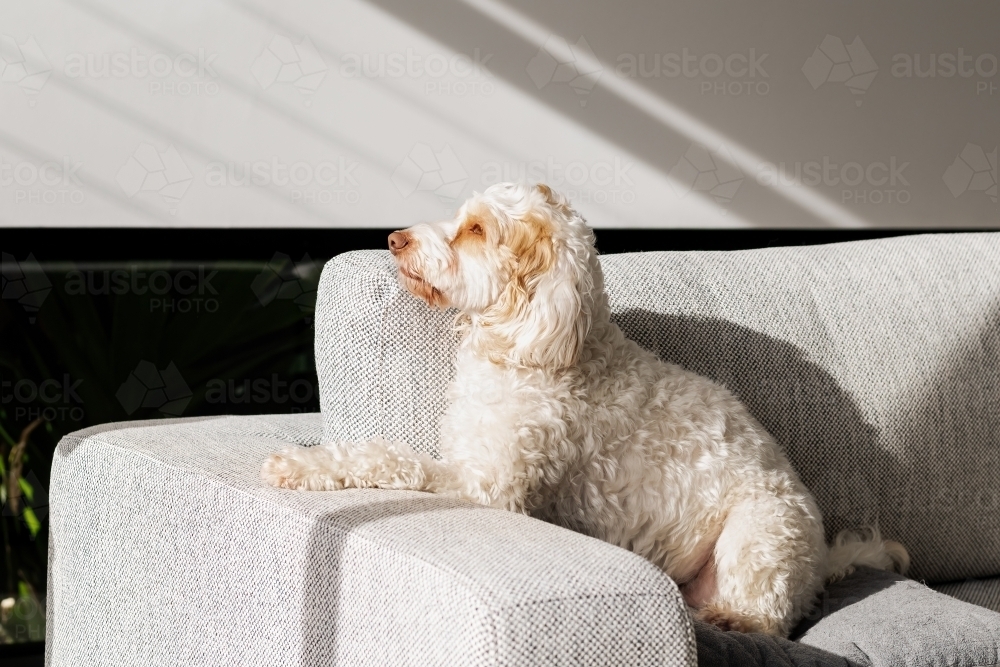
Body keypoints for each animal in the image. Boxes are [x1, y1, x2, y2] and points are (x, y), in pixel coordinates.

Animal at [262, 181, 912, 636]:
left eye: (475, 230)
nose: (394, 238)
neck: (533, 350)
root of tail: (824, 557)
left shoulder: (487, 485)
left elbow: (391, 458)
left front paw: (297, 464)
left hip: (762, 534)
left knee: (769, 615)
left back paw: (735, 621)